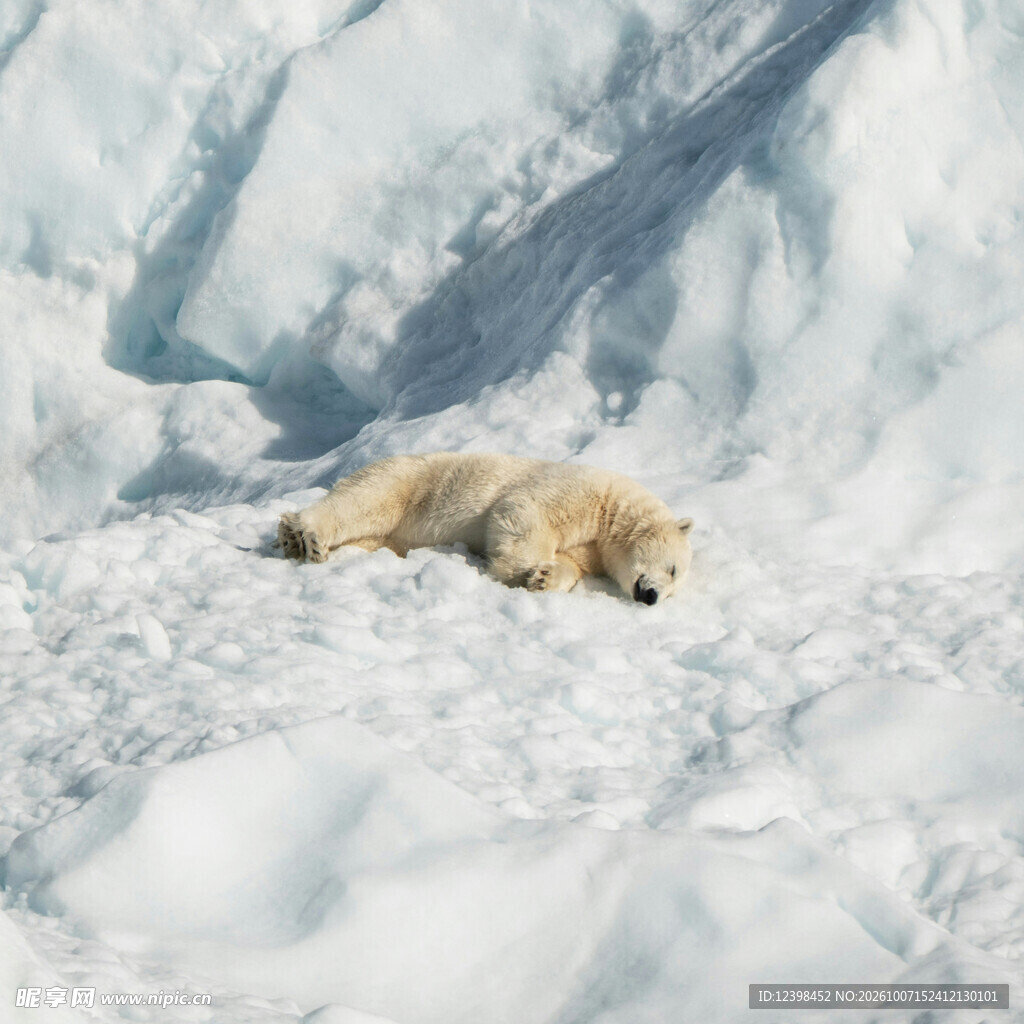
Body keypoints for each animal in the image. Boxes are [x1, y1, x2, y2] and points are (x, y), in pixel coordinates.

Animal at [277, 452, 694, 604]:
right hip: (411, 479)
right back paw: (303, 535)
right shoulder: (579, 491)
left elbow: (571, 564)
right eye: (673, 569)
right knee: (365, 500)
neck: (614, 511)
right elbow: (523, 511)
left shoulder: (591, 549)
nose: (652, 596)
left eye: (674, 586)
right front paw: (518, 571)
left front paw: (545, 578)